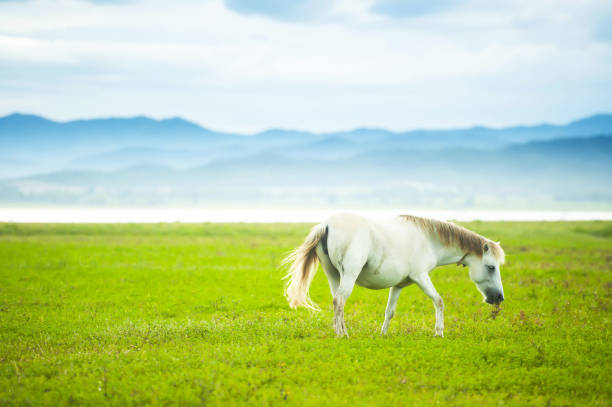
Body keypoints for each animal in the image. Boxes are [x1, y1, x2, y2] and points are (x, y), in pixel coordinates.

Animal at [284, 214, 504, 338]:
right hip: (349, 275)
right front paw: (439, 332)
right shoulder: (421, 277)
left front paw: (383, 334)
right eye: (491, 267)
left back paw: (340, 331)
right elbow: (439, 301)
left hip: (334, 275)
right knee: (339, 300)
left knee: (338, 302)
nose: (499, 298)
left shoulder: (398, 286)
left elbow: (389, 311)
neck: (428, 240)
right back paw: (342, 335)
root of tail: (327, 224)